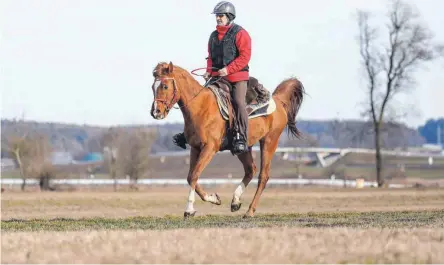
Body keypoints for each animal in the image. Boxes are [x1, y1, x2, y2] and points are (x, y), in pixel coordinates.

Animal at [151, 61, 304, 217]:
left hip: (269, 142)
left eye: (165, 86)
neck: (201, 107)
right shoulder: (195, 147)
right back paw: (235, 201)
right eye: (153, 87)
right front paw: (213, 198)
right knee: (250, 170)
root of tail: (278, 101)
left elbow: (194, 175)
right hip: (243, 148)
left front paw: (189, 210)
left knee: (263, 176)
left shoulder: (209, 148)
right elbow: (190, 176)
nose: (156, 112)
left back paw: (250, 211)